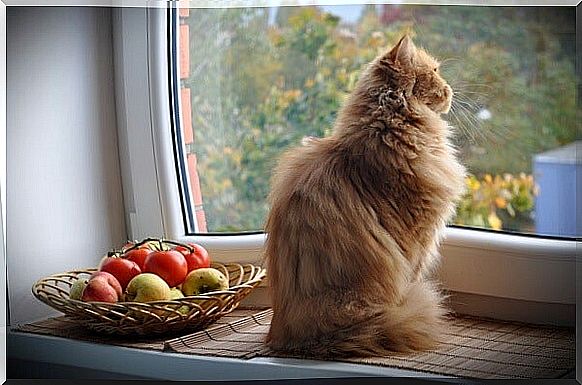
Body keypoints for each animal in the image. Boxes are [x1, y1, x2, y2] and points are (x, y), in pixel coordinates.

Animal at [264, 34, 470, 356]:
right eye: (435, 71)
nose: (449, 89)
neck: (389, 133)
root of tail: (293, 339)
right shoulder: (416, 242)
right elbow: (413, 277)